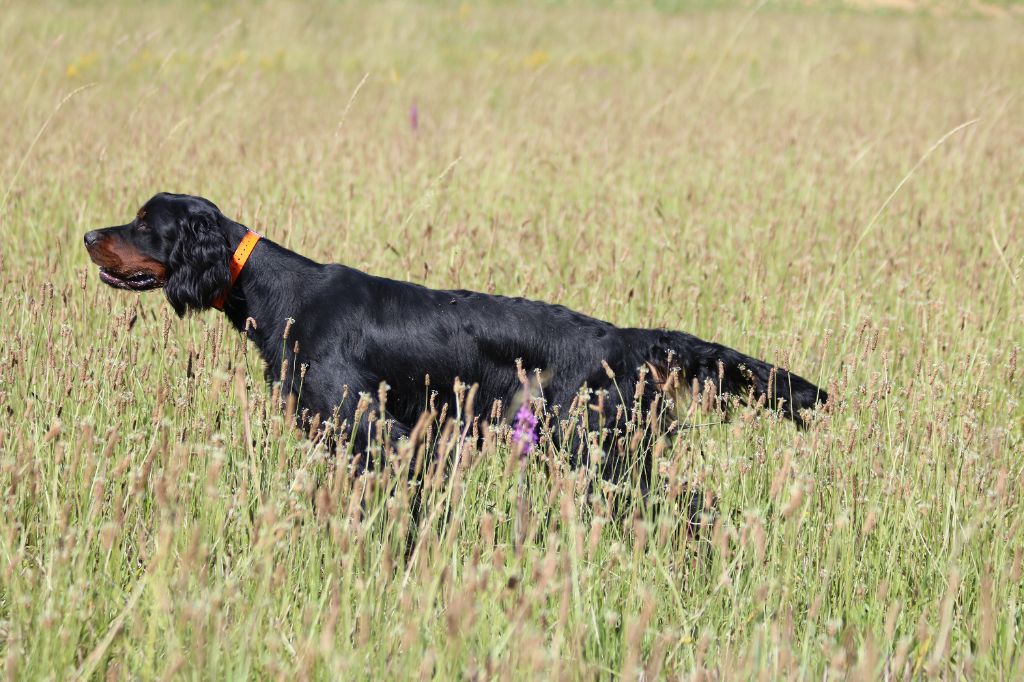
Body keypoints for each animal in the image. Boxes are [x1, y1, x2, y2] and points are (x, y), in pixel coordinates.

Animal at [83, 189, 827, 473]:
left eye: (146, 222)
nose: (88, 235)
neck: (277, 292)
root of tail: (625, 339)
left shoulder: (367, 429)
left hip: (590, 446)